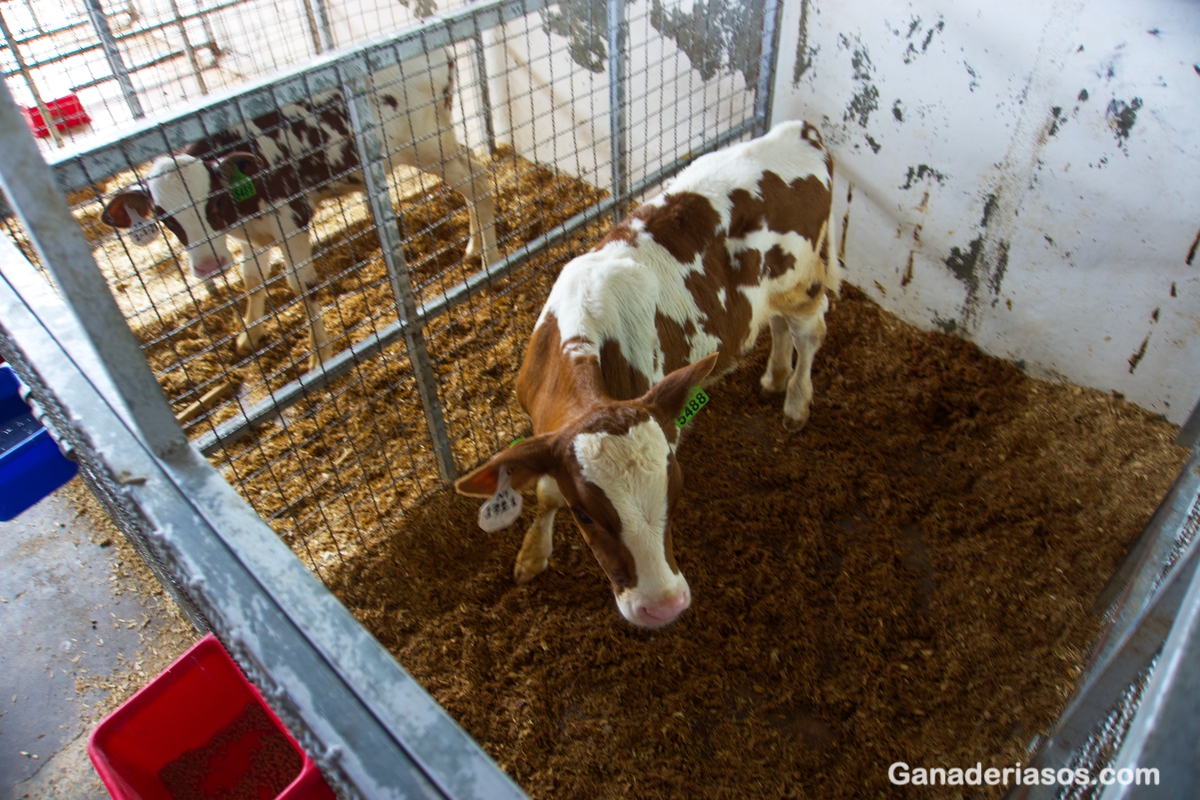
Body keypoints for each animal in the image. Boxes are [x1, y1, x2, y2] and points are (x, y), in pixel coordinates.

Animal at [99, 49, 496, 371]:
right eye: (164, 216)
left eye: (215, 200)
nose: (210, 265)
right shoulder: (249, 232)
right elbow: (251, 279)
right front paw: (249, 333)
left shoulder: (292, 217)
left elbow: (301, 285)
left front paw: (320, 356)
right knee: (473, 172)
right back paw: (475, 246)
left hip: (426, 146)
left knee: (476, 181)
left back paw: (487, 256)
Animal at [453, 122, 840, 628]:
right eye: (586, 516)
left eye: (675, 491)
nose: (663, 607)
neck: (581, 332)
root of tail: (799, 130)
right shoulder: (548, 432)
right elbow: (546, 491)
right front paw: (532, 556)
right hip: (769, 293)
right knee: (774, 323)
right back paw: (774, 378)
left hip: (805, 280)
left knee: (809, 333)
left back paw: (795, 403)